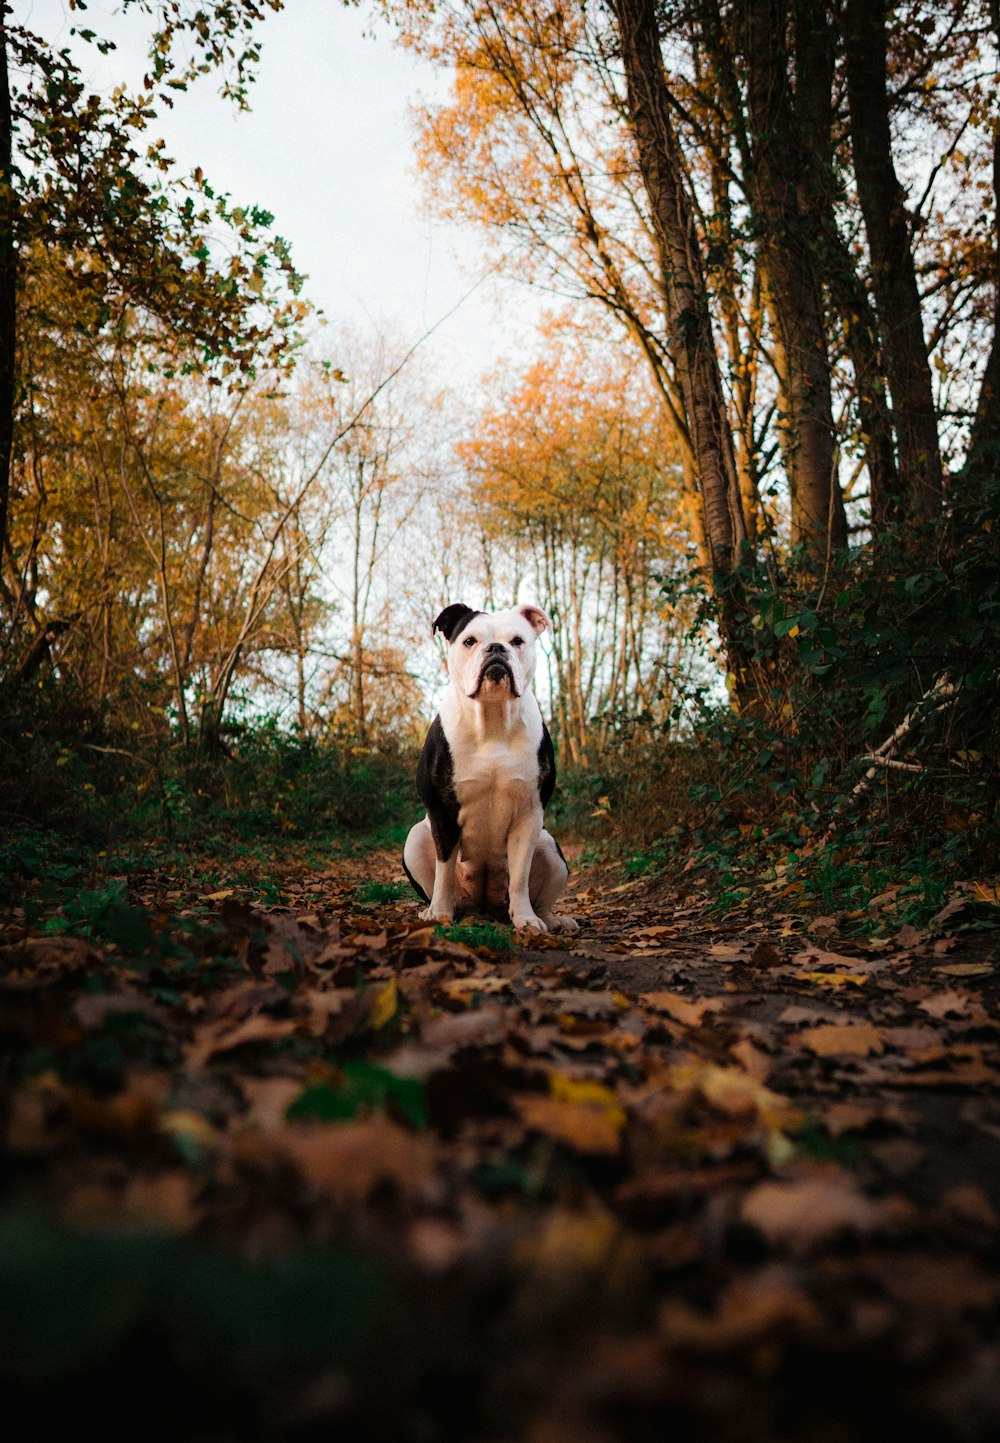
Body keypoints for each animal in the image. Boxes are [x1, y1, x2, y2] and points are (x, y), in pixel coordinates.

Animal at [401, 597, 577, 935]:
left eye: (518, 640)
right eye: (470, 641)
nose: (496, 648)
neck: (492, 717)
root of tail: (482, 905)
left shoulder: (528, 816)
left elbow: (520, 876)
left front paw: (525, 919)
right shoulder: (442, 812)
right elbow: (444, 870)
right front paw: (440, 914)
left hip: (550, 848)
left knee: (541, 897)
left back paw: (552, 920)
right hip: (415, 839)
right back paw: (436, 909)